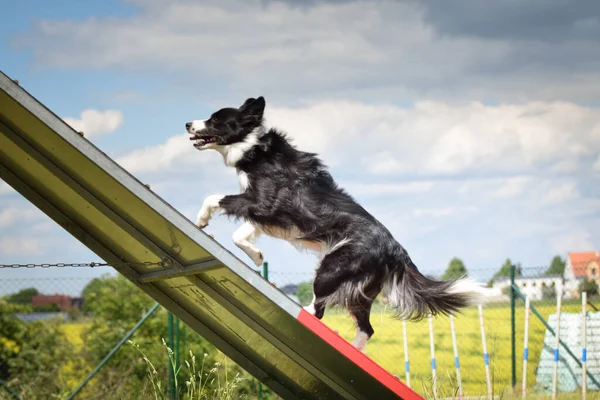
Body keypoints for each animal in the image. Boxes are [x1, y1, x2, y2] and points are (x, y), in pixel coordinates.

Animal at [186, 98, 482, 352]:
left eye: (214, 119)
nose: (187, 124)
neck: (254, 148)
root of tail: (396, 249)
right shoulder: (268, 215)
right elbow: (241, 233)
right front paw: (257, 256)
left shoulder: (263, 203)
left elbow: (214, 199)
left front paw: (201, 219)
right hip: (360, 289)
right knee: (367, 328)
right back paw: (355, 351)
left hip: (333, 268)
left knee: (319, 309)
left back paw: (306, 315)